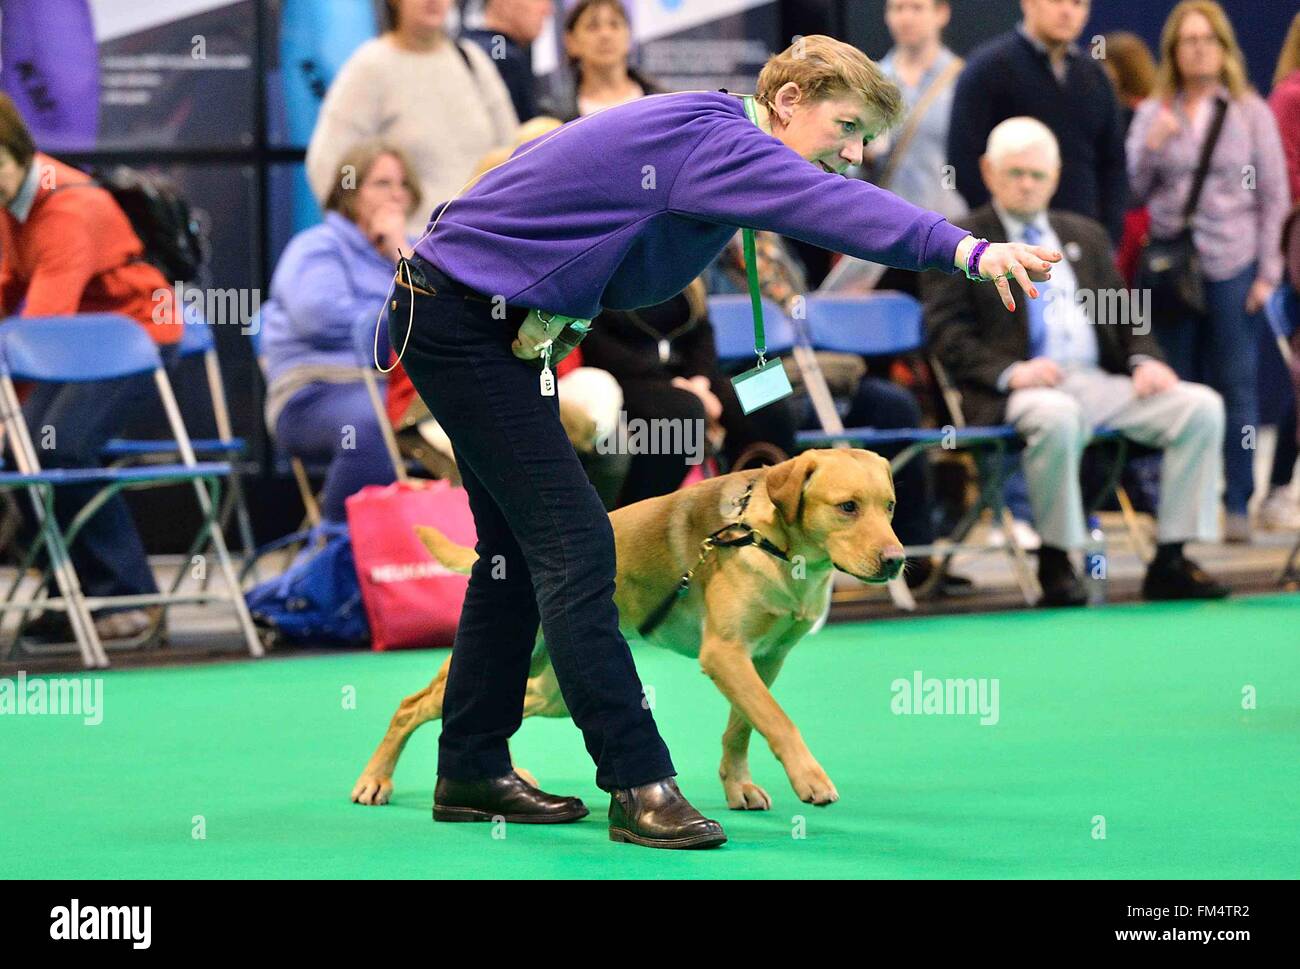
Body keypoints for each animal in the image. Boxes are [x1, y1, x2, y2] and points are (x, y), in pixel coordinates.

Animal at [356, 444, 904, 806]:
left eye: (890, 507)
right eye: (847, 507)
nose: (897, 560)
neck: (775, 547)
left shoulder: (765, 660)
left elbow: (743, 727)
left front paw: (738, 785)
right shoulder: (725, 654)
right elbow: (778, 720)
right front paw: (809, 777)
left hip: (552, 689)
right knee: (413, 706)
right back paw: (375, 779)